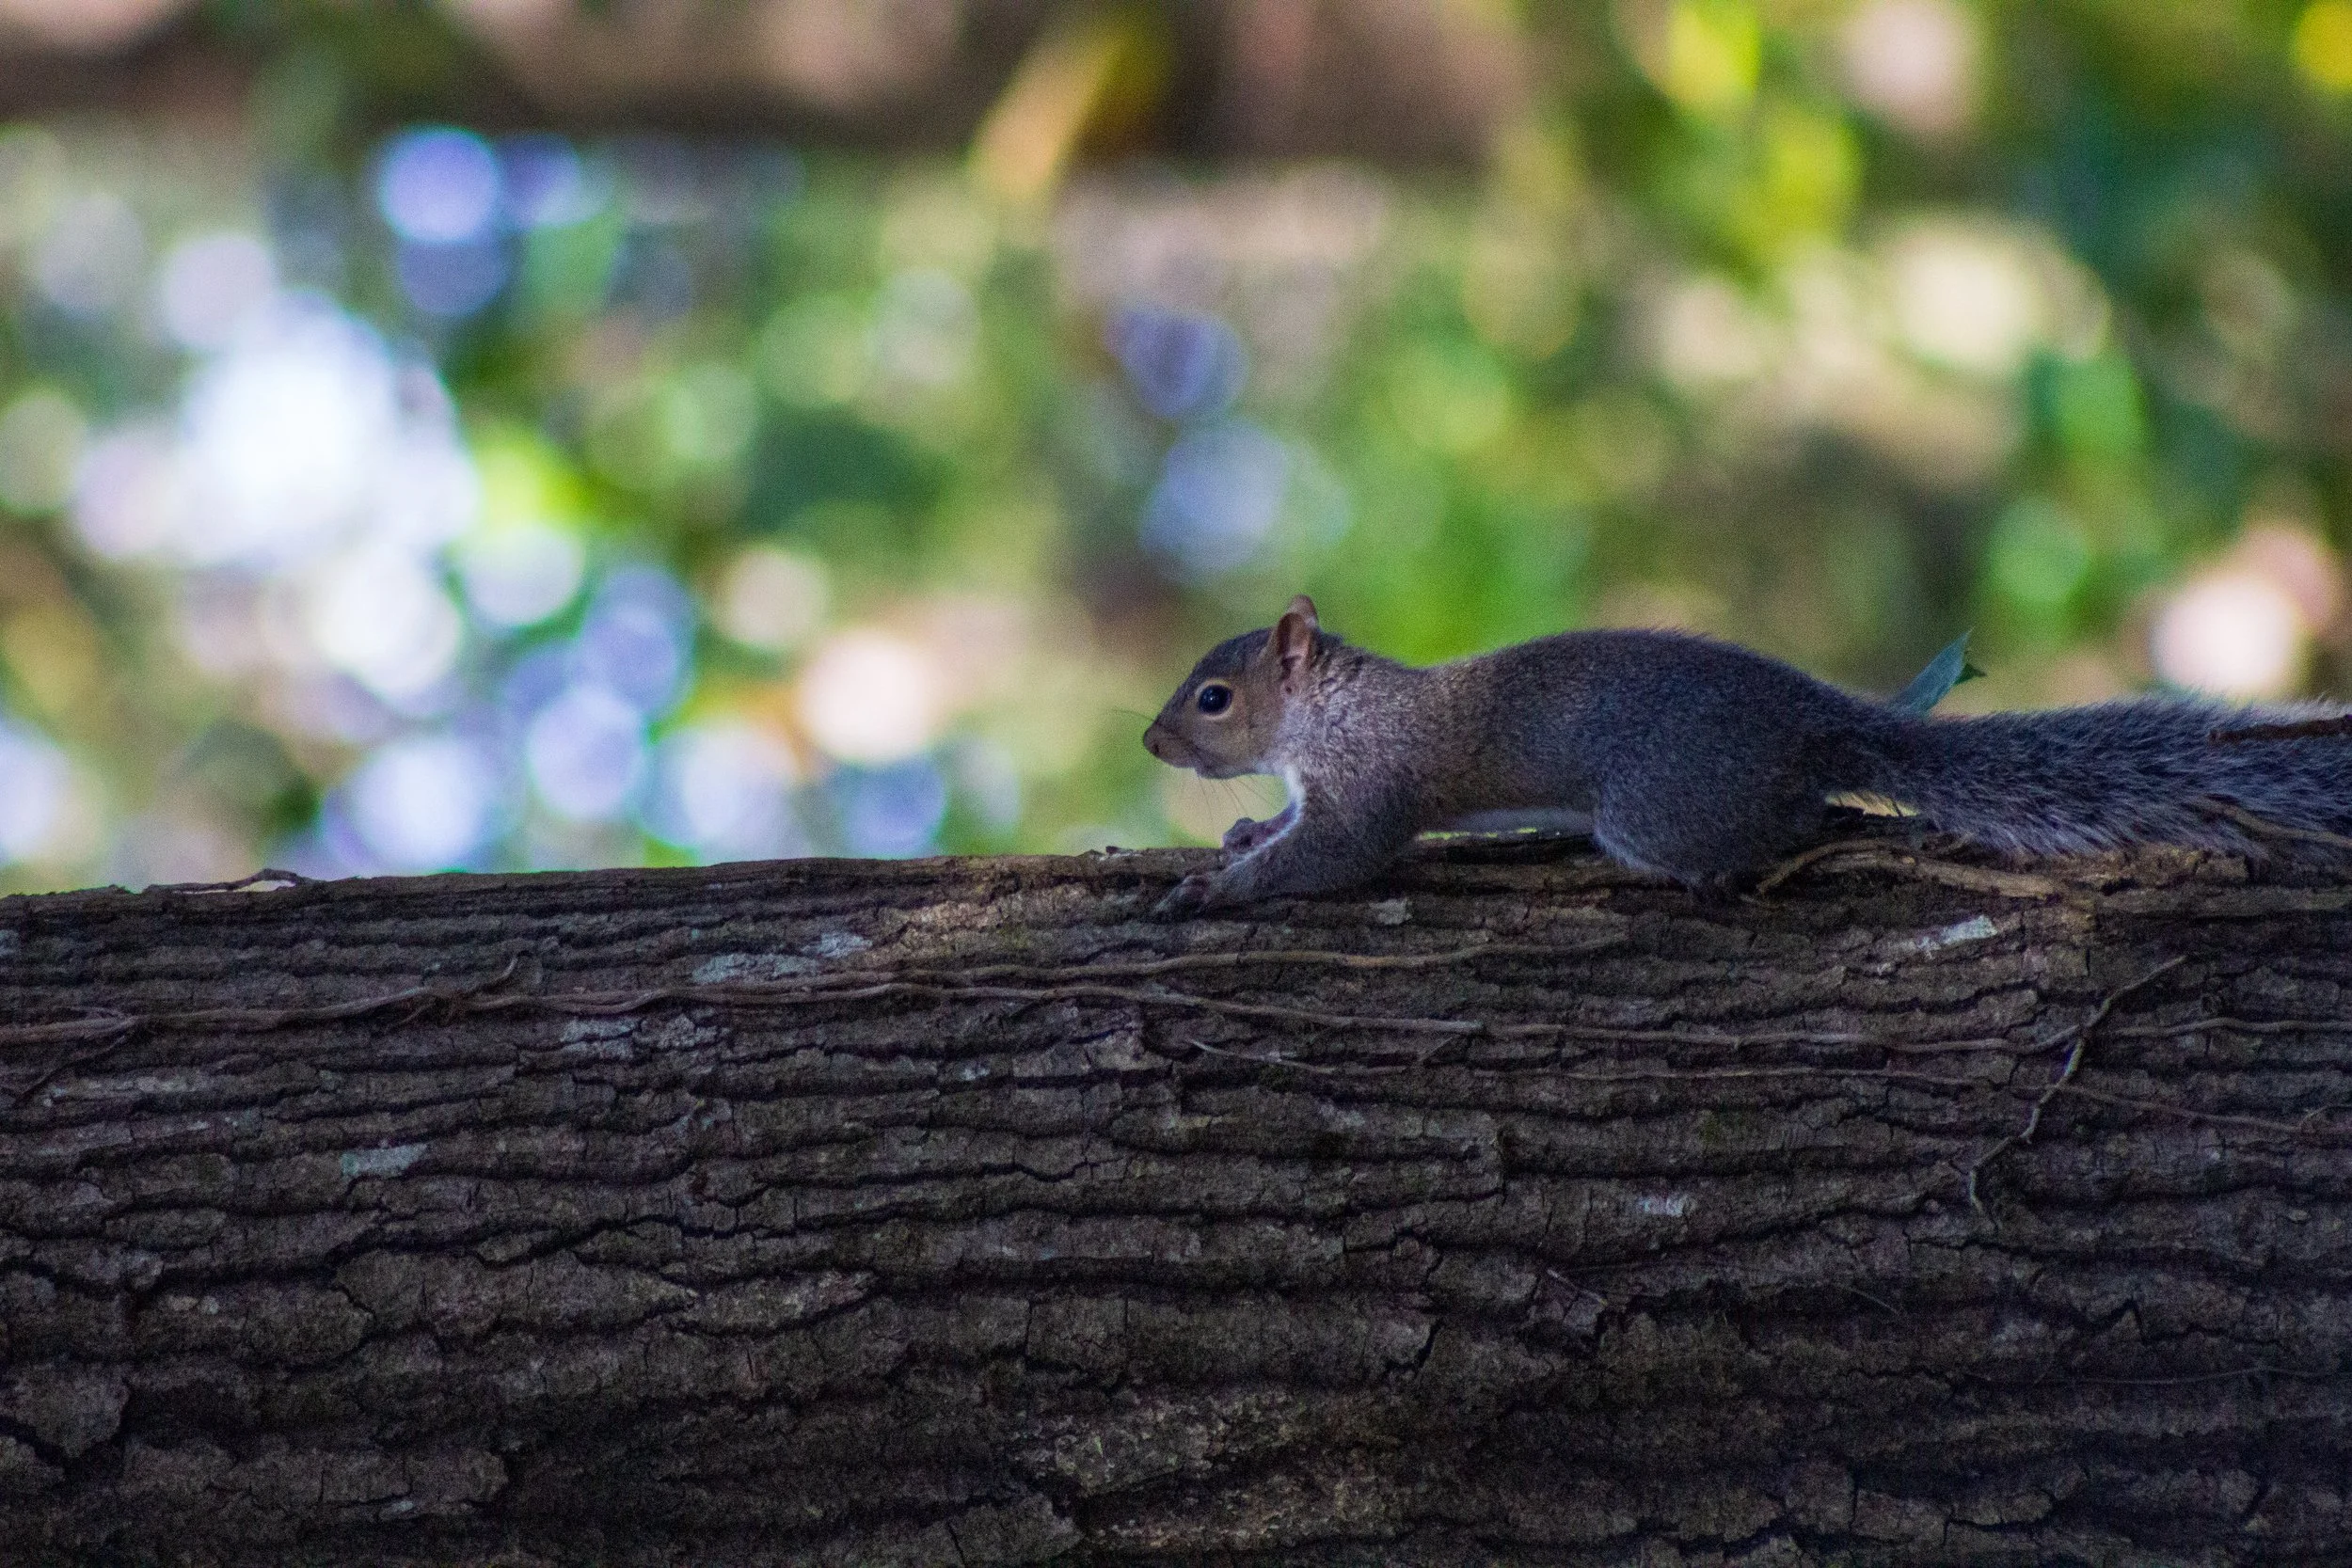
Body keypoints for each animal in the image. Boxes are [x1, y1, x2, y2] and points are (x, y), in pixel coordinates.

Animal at [1142, 595, 2352, 915]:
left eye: (1213, 696)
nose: (1150, 738)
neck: (1324, 715)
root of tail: (1814, 719)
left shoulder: (1373, 784)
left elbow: (1335, 854)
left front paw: (1216, 887)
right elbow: (1292, 827)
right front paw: (1243, 831)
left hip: (1656, 809)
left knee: (1797, 822)